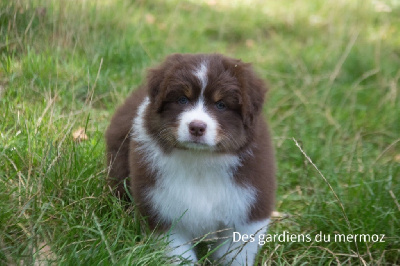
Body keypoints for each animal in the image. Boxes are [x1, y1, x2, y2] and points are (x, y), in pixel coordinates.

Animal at [104, 53, 276, 264]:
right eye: (182, 100)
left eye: (221, 105)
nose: (197, 127)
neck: (200, 160)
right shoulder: (162, 210)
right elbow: (178, 254)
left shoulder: (249, 208)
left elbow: (234, 254)